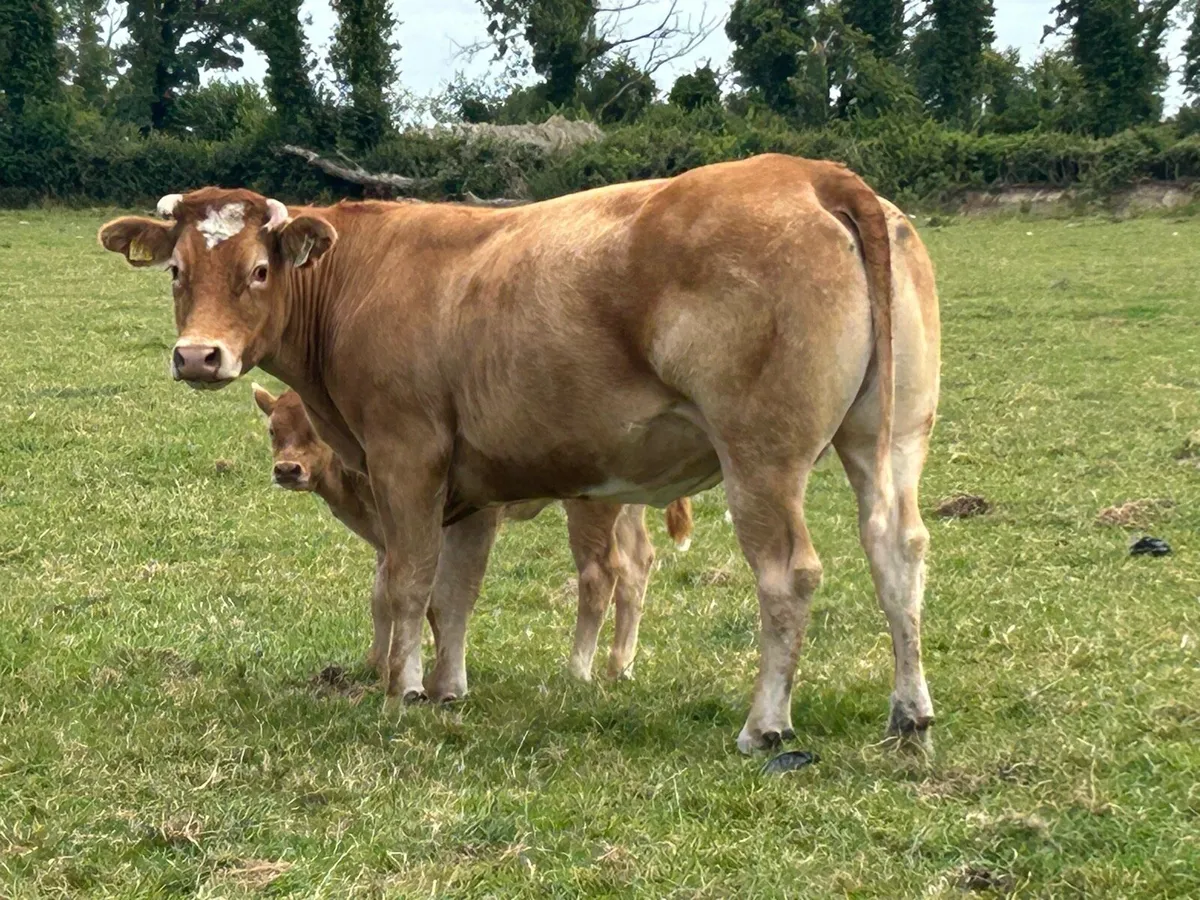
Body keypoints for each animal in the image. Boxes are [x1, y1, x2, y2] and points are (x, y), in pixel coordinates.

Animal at [252, 384, 694, 689]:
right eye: (273, 430)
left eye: (316, 432)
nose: (287, 469)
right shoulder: (386, 538)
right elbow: (384, 595)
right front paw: (377, 662)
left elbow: (434, 595)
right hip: (626, 508)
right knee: (637, 566)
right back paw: (620, 668)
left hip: (589, 509)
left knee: (600, 573)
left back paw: (577, 672)